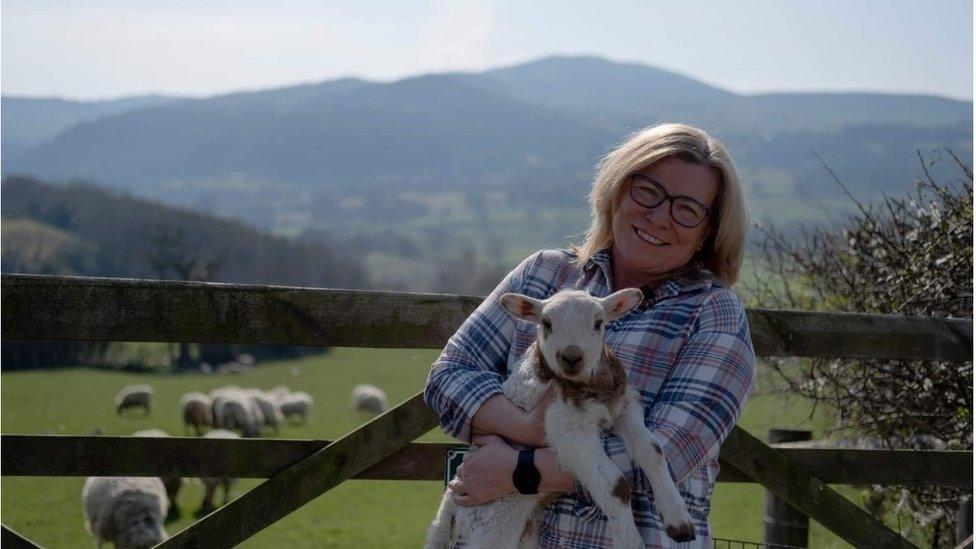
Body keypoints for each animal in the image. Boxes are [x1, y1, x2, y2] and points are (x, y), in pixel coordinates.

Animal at [426, 288, 692, 544]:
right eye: (546, 323)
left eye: (598, 323)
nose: (571, 356)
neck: (591, 386)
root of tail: (449, 503)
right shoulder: (566, 428)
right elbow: (615, 485)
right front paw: (630, 541)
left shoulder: (624, 408)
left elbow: (652, 450)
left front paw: (678, 521)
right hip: (491, 525)